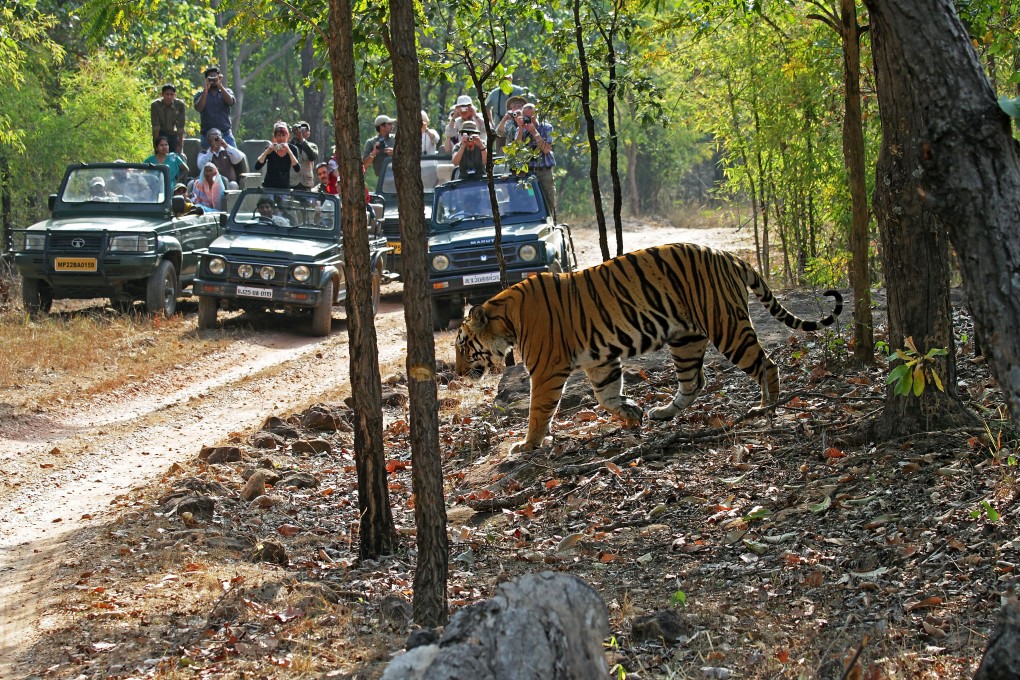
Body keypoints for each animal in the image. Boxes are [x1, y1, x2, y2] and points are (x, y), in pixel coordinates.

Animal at [454, 243, 843, 454]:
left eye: (462, 346)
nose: (456, 373)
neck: (507, 319)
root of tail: (729, 255)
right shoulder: (600, 360)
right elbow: (606, 395)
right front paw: (632, 412)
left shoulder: (547, 371)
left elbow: (538, 411)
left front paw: (527, 445)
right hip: (686, 339)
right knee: (694, 383)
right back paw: (662, 413)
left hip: (726, 326)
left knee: (767, 364)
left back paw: (766, 406)